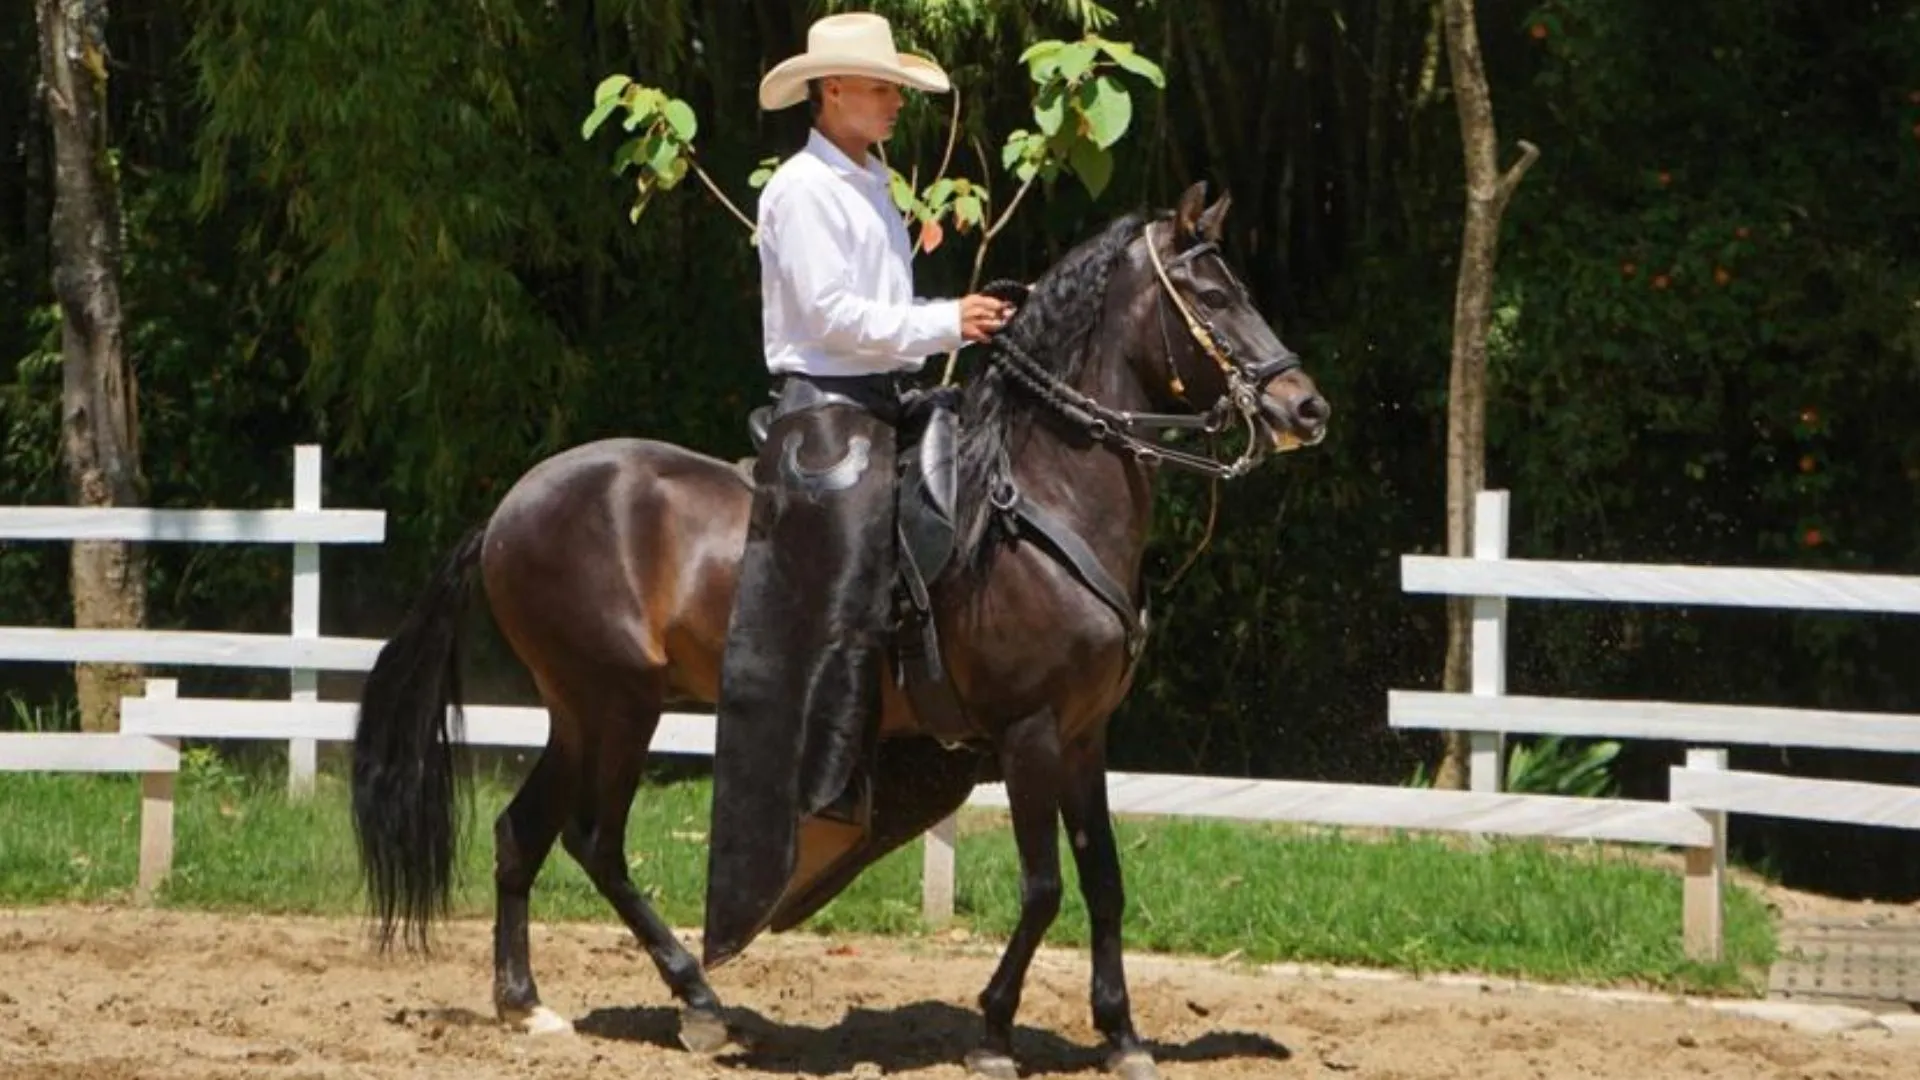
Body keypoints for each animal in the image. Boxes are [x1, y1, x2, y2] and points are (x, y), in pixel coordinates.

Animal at [348, 180, 1330, 1080]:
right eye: (1212, 295)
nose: (1306, 409)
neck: (1040, 500)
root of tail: (511, 507)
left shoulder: (1085, 736)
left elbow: (1104, 882)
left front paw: (1122, 1035)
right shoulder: (1029, 734)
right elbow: (1045, 887)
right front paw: (994, 1034)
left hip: (579, 712)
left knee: (522, 833)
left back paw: (527, 1005)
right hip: (616, 706)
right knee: (595, 840)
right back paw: (698, 1002)